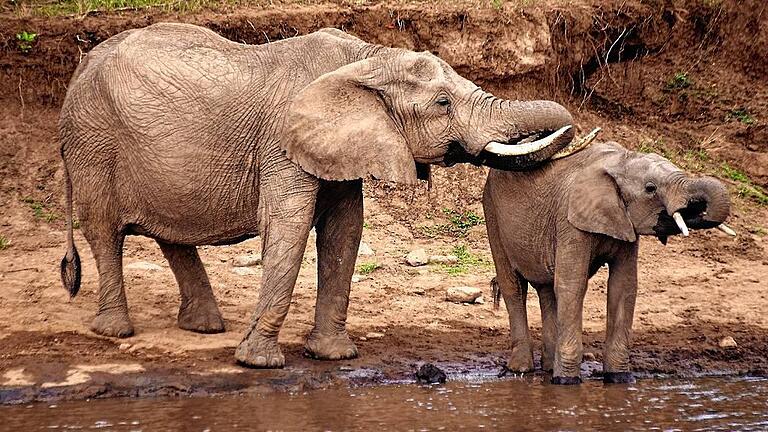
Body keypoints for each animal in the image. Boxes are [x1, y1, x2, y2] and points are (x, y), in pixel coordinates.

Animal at [61, 22, 576, 368]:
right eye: (443, 104)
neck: (366, 57)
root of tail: (82, 65)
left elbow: (345, 232)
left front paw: (333, 356)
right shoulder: (281, 145)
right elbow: (288, 227)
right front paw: (258, 362)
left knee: (172, 236)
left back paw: (204, 327)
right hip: (93, 144)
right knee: (103, 230)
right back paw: (116, 329)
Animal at [486, 140, 732, 384]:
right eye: (650, 188)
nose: (695, 209)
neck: (622, 161)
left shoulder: (625, 224)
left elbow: (623, 286)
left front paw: (619, 378)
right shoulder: (570, 222)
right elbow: (572, 285)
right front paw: (566, 382)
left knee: (546, 289)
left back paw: (548, 368)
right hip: (492, 215)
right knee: (514, 287)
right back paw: (521, 369)